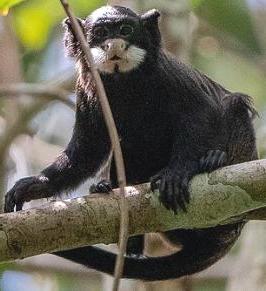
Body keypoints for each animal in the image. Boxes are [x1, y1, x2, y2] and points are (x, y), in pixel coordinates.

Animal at [4, 5, 258, 282]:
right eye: (101, 33)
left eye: (125, 30)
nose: (114, 43)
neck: (124, 82)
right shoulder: (86, 89)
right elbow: (86, 151)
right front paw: (35, 185)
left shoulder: (169, 75)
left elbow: (202, 111)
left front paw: (177, 172)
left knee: (234, 104)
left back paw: (213, 161)